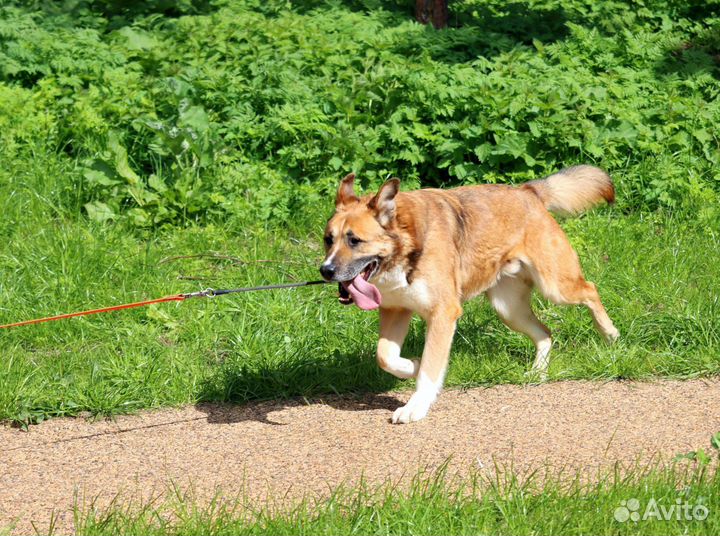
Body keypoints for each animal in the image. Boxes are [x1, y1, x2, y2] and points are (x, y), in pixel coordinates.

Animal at [320, 165, 620, 426]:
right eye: (328, 239)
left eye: (354, 240)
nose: (325, 270)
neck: (408, 245)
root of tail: (528, 192)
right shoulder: (396, 311)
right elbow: (385, 357)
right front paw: (412, 366)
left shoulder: (443, 315)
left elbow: (430, 368)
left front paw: (416, 405)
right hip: (508, 308)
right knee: (545, 333)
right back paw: (538, 371)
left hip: (555, 287)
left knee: (590, 289)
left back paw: (610, 334)